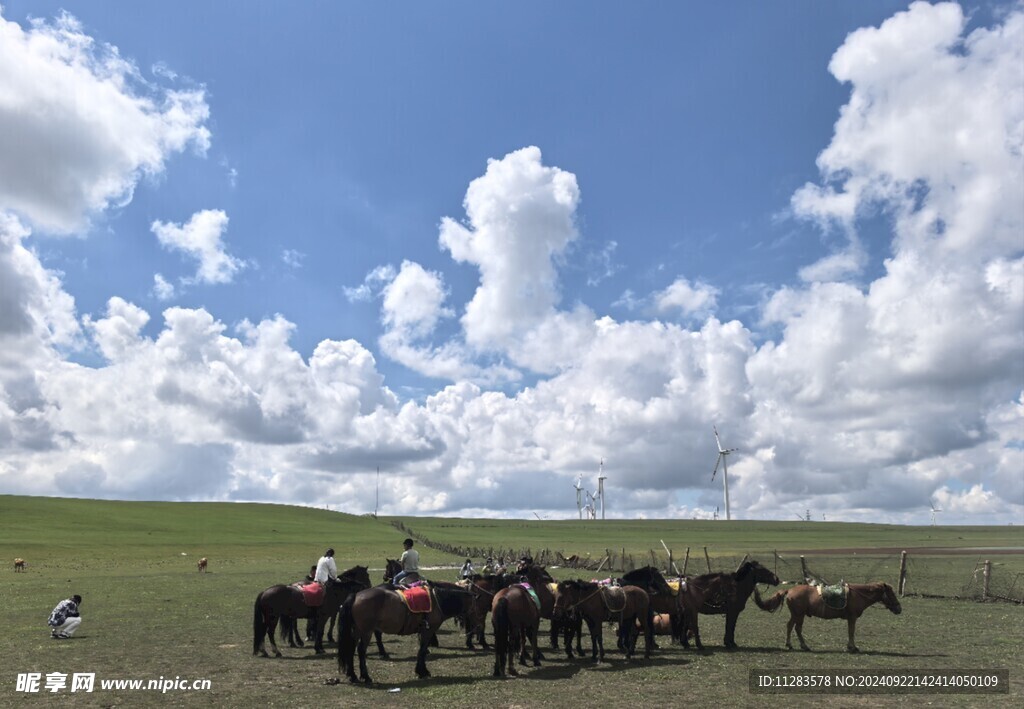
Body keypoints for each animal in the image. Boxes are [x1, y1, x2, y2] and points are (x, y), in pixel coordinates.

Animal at [339, 577, 475, 684]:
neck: (437, 598)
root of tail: (356, 596)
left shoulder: (423, 631)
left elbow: (422, 650)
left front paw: (422, 670)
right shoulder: (428, 631)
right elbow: (422, 650)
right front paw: (422, 672)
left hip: (357, 631)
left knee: (351, 649)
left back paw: (352, 676)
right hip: (366, 632)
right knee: (361, 651)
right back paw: (366, 676)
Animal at [753, 581, 905, 651]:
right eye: (891, 594)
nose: (899, 609)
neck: (858, 595)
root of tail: (789, 590)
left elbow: (850, 632)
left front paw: (851, 646)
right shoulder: (852, 618)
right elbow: (851, 632)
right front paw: (853, 647)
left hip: (798, 615)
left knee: (792, 627)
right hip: (798, 614)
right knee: (794, 627)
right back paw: (798, 645)